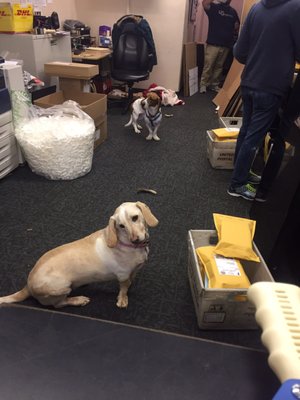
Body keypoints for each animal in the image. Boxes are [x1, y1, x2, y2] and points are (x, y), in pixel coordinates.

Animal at [0, 203, 159, 310]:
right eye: (121, 226)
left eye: (135, 218)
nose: (136, 240)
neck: (126, 243)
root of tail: (28, 285)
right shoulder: (123, 275)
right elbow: (124, 288)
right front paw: (123, 299)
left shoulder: (133, 271)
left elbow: (130, 281)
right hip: (63, 287)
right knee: (59, 304)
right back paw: (77, 300)